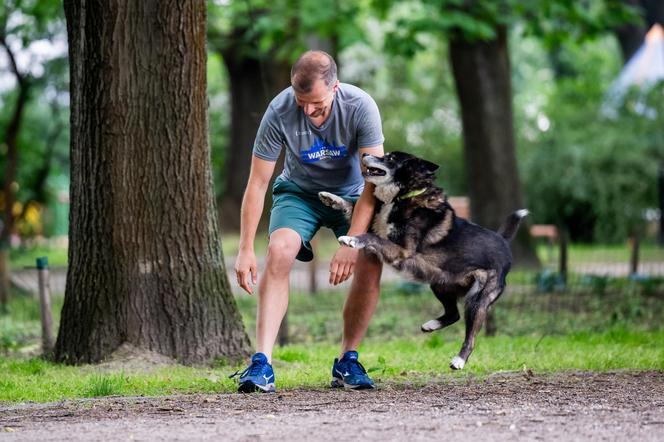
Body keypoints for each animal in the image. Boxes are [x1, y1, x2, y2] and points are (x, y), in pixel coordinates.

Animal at [320, 152, 528, 370]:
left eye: (390, 158)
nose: (365, 154)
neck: (403, 197)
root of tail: (503, 241)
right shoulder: (378, 226)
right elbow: (351, 207)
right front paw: (330, 198)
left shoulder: (401, 250)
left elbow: (371, 238)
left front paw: (351, 240)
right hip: (439, 284)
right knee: (453, 314)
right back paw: (430, 325)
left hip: (477, 300)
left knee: (471, 335)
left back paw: (459, 360)